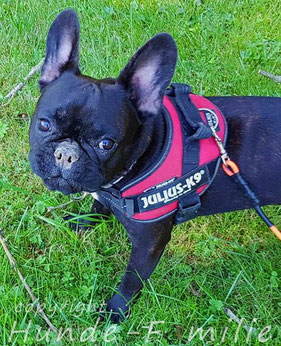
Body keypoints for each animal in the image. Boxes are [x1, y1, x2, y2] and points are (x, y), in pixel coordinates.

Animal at [29, 8, 281, 322]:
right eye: (44, 124)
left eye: (106, 144)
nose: (66, 153)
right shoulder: (104, 191)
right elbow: (99, 205)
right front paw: (84, 220)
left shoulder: (149, 244)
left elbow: (131, 280)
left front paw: (115, 312)